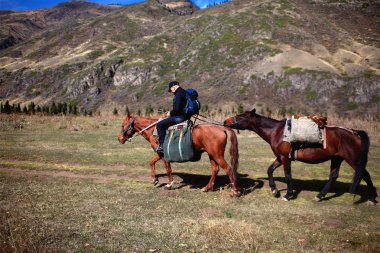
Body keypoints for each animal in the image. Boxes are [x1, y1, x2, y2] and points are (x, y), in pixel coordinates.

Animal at [226, 108, 378, 204]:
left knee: (365, 175)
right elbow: (270, 170)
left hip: (352, 160)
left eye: (241, 116)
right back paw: (319, 196)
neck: (278, 132)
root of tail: (354, 132)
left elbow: (288, 175)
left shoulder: (285, 158)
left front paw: (288, 195)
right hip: (337, 159)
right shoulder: (280, 157)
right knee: (334, 176)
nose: (225, 122)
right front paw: (274, 190)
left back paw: (372, 198)